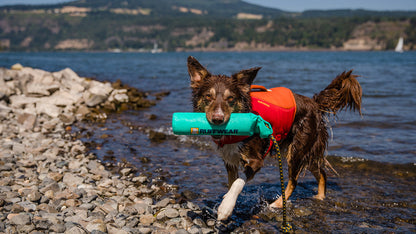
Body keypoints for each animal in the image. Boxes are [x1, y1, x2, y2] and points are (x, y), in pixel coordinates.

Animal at [187, 55, 362, 220]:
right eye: (208, 97)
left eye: (230, 99)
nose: (217, 119)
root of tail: (314, 104)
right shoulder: (229, 159)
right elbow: (231, 182)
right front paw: (228, 201)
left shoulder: (256, 160)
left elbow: (237, 182)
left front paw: (226, 207)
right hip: (305, 151)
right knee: (321, 173)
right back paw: (319, 198)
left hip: (297, 150)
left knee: (294, 181)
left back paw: (276, 204)